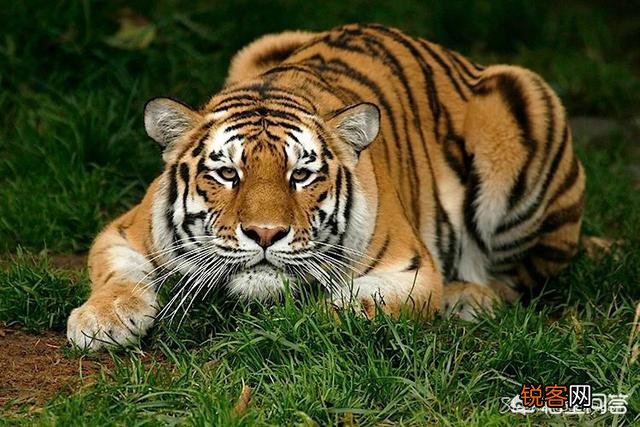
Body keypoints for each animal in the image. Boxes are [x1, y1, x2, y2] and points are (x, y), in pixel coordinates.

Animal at [67, 24, 585, 350]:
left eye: (301, 175)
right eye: (228, 174)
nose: (265, 234)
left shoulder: (410, 271)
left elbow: (351, 308)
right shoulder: (123, 231)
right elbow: (118, 276)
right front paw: (99, 321)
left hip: (524, 106)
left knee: (522, 280)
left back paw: (468, 298)